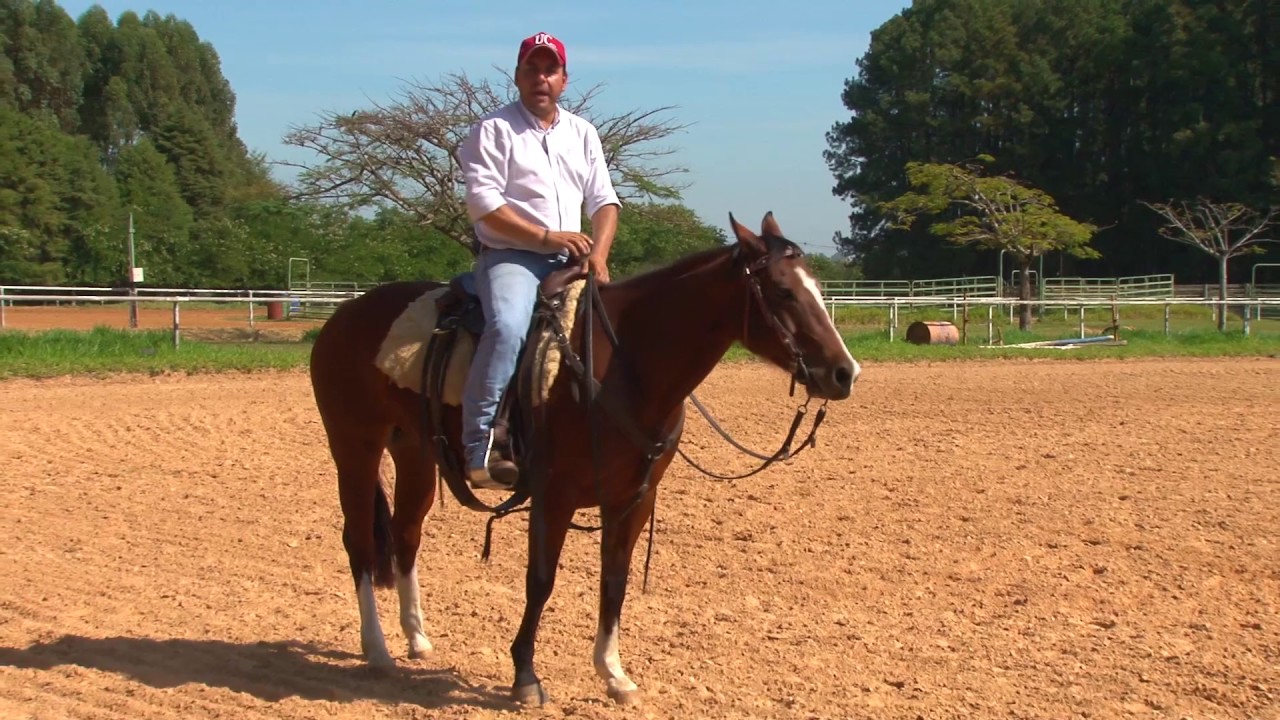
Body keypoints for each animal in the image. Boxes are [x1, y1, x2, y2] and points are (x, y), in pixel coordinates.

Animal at [306, 211, 860, 707]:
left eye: (816, 287)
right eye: (783, 292)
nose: (844, 372)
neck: (624, 368)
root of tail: (343, 316)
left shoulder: (632, 500)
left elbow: (614, 581)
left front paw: (614, 675)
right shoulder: (554, 496)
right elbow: (540, 581)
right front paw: (526, 678)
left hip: (416, 453)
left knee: (405, 535)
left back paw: (417, 639)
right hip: (355, 447)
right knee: (359, 541)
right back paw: (377, 650)